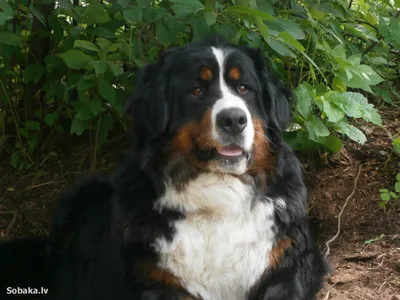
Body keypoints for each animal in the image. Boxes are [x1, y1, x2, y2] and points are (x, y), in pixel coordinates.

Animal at [0, 36, 328, 298]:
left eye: (245, 88)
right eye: (196, 91)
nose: (234, 119)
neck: (218, 198)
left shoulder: (287, 267)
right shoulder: (156, 280)